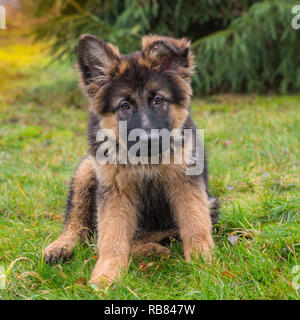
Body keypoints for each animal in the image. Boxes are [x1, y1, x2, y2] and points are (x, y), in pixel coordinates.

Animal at [44, 33, 218, 286]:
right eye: (124, 105)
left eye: (158, 100)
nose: (150, 141)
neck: (146, 161)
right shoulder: (115, 189)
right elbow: (112, 235)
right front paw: (107, 275)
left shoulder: (185, 181)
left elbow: (195, 223)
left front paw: (203, 263)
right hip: (87, 169)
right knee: (78, 222)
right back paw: (61, 246)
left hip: (210, 204)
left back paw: (152, 250)